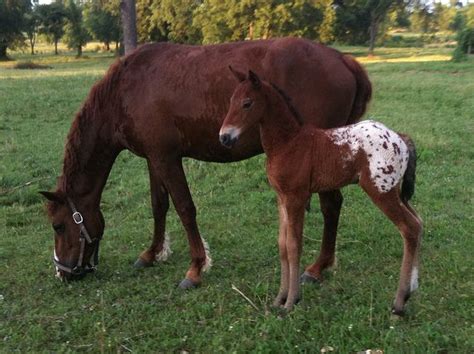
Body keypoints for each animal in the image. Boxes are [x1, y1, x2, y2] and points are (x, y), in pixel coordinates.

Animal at [40, 37, 372, 290]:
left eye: (58, 226)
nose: (62, 273)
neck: (125, 90)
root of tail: (342, 59)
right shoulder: (154, 158)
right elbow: (159, 205)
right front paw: (152, 253)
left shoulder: (167, 158)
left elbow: (185, 208)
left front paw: (196, 268)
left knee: (331, 205)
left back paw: (317, 268)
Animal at [218, 70, 422, 316]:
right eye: (231, 101)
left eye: (247, 103)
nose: (224, 137)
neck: (289, 143)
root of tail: (400, 138)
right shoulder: (282, 199)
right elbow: (282, 245)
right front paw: (279, 299)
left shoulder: (296, 198)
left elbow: (294, 245)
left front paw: (291, 302)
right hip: (397, 192)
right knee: (419, 222)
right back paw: (411, 290)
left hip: (381, 191)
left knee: (409, 228)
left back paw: (399, 303)